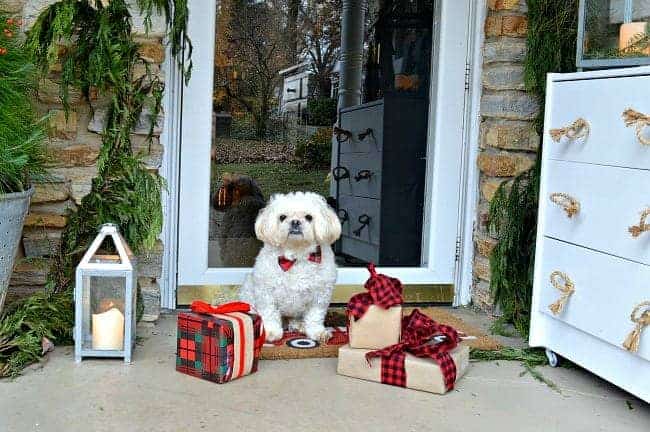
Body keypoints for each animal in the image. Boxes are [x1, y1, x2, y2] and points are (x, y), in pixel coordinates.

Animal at [238, 194, 340, 342]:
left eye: (309, 217)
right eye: (282, 217)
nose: (295, 222)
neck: (296, 256)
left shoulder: (320, 296)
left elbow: (315, 316)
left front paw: (317, 332)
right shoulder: (266, 293)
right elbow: (269, 313)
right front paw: (271, 332)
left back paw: (299, 325)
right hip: (248, 293)